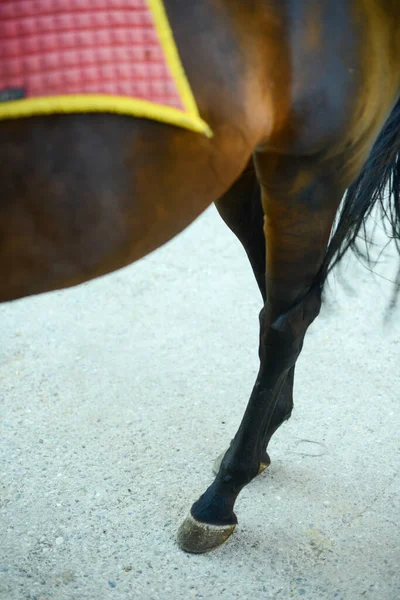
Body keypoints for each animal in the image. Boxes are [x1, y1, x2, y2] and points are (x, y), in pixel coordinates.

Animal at [0, 0, 400, 552]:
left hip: (311, 168)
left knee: (287, 323)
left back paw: (219, 498)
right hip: (243, 166)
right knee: (280, 306)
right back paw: (261, 443)